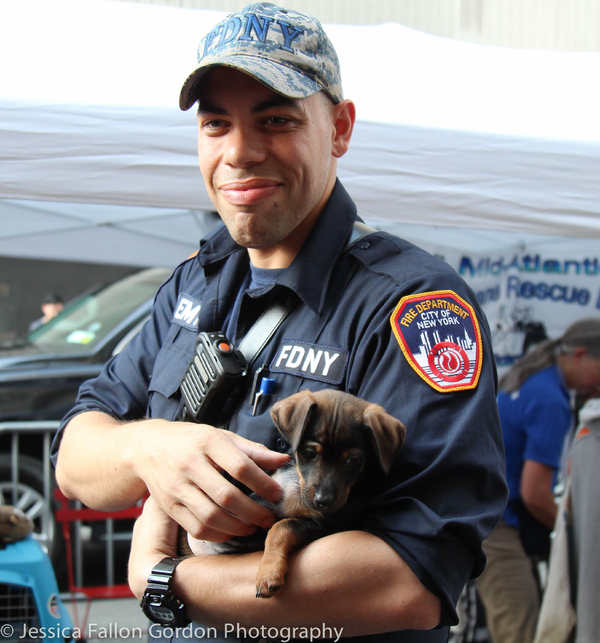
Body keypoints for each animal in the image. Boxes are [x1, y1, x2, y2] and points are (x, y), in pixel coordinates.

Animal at [185, 390, 406, 600]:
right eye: (308, 454)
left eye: (352, 460)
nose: (322, 502)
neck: (296, 483)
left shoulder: (324, 525)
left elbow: (281, 527)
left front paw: (268, 574)